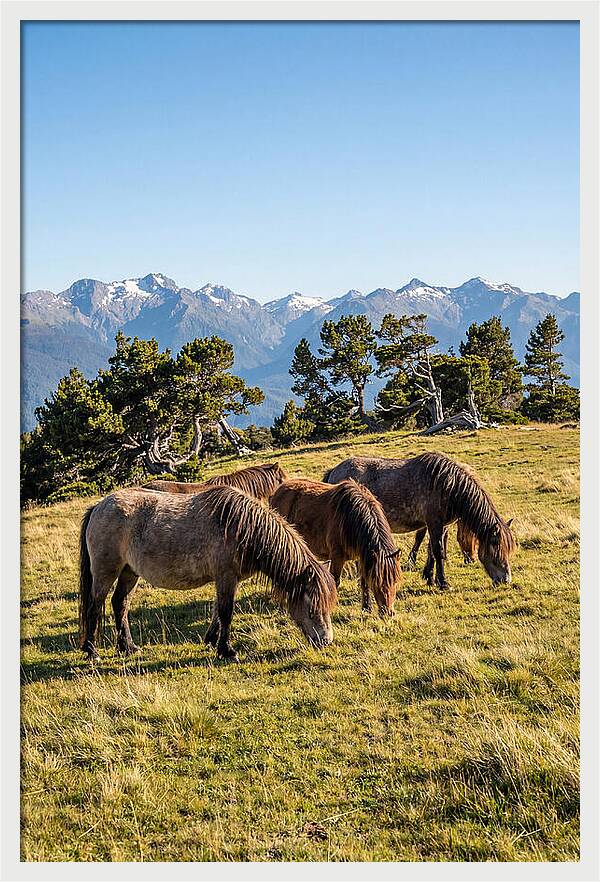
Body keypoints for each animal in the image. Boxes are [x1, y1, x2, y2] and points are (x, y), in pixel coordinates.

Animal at [79, 484, 337, 661]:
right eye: (312, 607)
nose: (325, 641)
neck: (241, 528)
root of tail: (98, 507)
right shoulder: (226, 576)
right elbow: (226, 612)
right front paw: (227, 650)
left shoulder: (227, 579)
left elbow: (217, 611)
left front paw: (212, 641)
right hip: (106, 571)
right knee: (95, 605)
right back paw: (92, 651)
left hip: (129, 572)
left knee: (120, 604)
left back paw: (128, 647)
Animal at [270, 478, 400, 616]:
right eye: (378, 581)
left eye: (395, 581)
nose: (389, 613)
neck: (350, 518)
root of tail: (278, 490)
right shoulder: (337, 556)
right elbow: (335, 581)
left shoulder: (362, 557)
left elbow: (364, 582)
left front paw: (367, 608)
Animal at [324, 452, 514, 589]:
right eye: (495, 545)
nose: (506, 579)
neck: (447, 485)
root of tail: (334, 471)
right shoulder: (434, 523)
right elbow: (437, 551)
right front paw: (443, 583)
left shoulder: (441, 526)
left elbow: (432, 550)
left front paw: (429, 578)